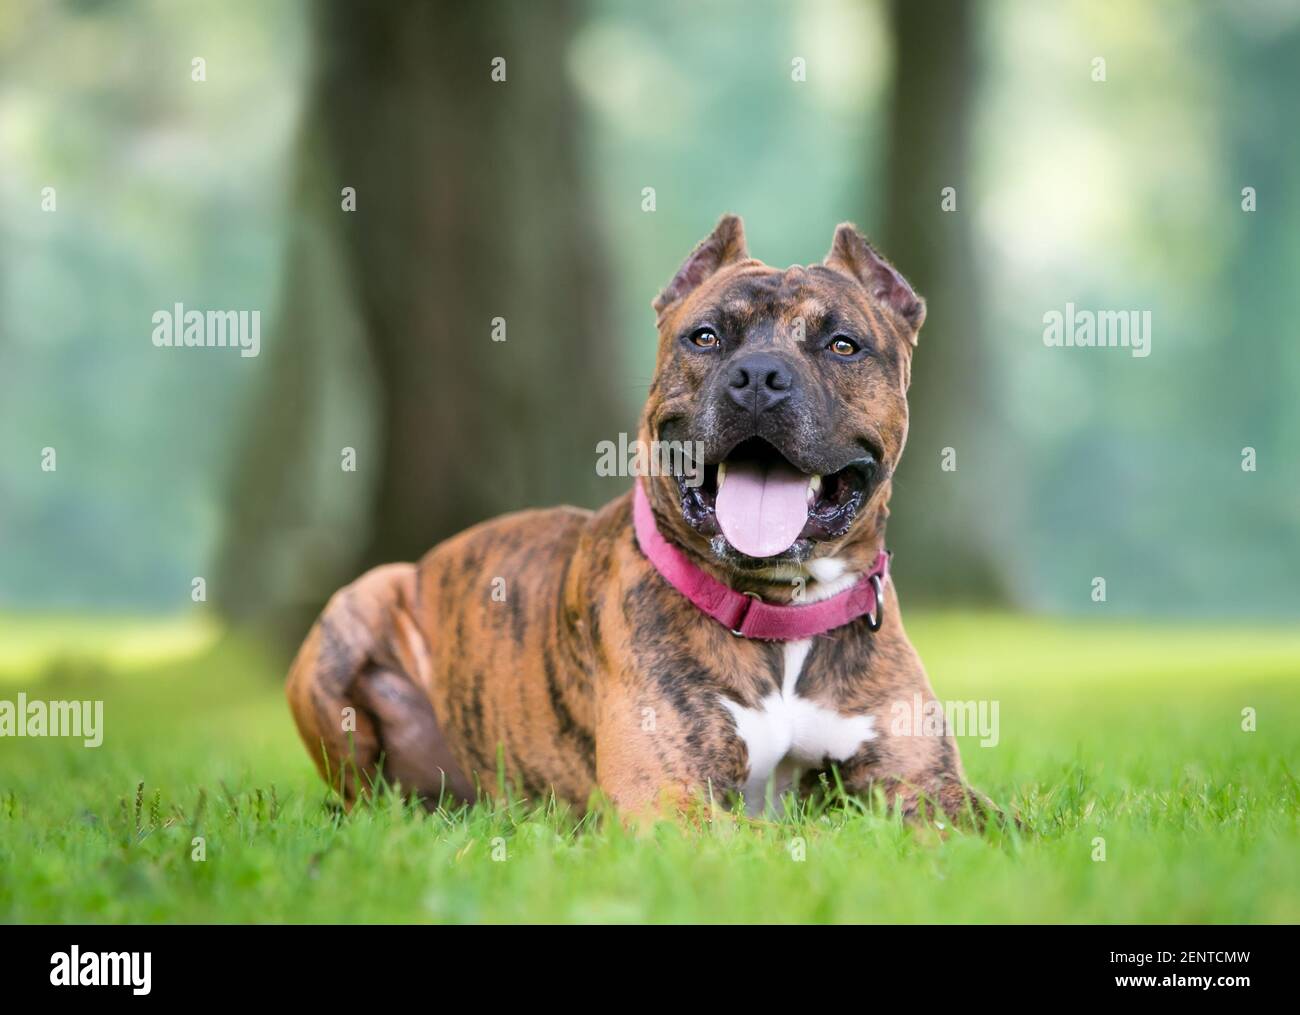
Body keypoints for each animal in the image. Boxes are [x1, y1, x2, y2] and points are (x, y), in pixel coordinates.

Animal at [287, 215, 993, 821]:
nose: (759, 375)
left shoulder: (928, 785)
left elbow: (999, 825)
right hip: (351, 619)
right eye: (705, 336)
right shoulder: (667, 797)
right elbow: (787, 835)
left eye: (843, 345)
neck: (779, 612)